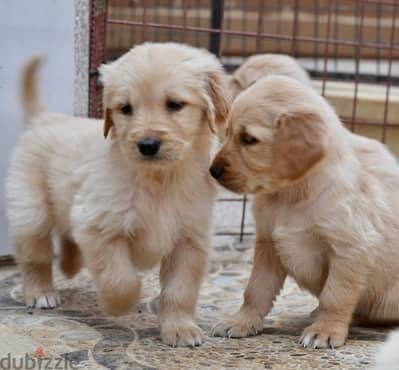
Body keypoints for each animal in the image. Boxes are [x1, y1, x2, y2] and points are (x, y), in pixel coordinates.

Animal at [6, 42, 231, 346]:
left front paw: (180, 328)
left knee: (66, 234)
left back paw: (69, 264)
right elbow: (120, 280)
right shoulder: (100, 227)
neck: (160, 181)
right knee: (35, 256)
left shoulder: (190, 239)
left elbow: (180, 290)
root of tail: (45, 117)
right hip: (32, 210)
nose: (147, 145)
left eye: (175, 104)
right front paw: (117, 306)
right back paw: (41, 292)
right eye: (126, 108)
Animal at [209, 73, 399, 348]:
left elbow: (335, 296)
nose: (212, 171)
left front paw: (325, 330)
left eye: (249, 139)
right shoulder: (268, 244)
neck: (291, 194)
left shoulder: (351, 250)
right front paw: (241, 321)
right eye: (228, 134)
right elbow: (255, 290)